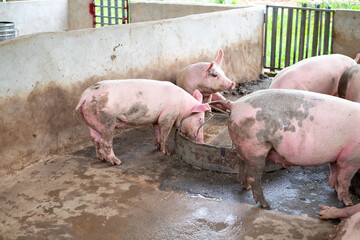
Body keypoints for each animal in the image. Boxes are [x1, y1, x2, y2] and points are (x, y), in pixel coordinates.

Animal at [76, 79, 211, 166]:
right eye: (200, 119)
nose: (202, 141)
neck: (182, 106)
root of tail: (85, 96)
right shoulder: (168, 116)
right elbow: (165, 133)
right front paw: (167, 152)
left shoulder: (156, 118)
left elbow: (156, 130)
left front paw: (157, 146)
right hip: (106, 120)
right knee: (105, 142)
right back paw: (116, 162)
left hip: (91, 121)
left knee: (95, 140)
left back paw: (101, 158)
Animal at [229, 88, 360, 208]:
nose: (350, 203)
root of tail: (235, 104)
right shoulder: (350, 159)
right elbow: (344, 180)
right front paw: (349, 203)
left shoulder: (337, 157)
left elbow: (334, 175)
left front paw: (336, 190)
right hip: (256, 147)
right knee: (254, 176)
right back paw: (267, 205)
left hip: (244, 145)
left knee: (240, 160)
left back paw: (246, 186)